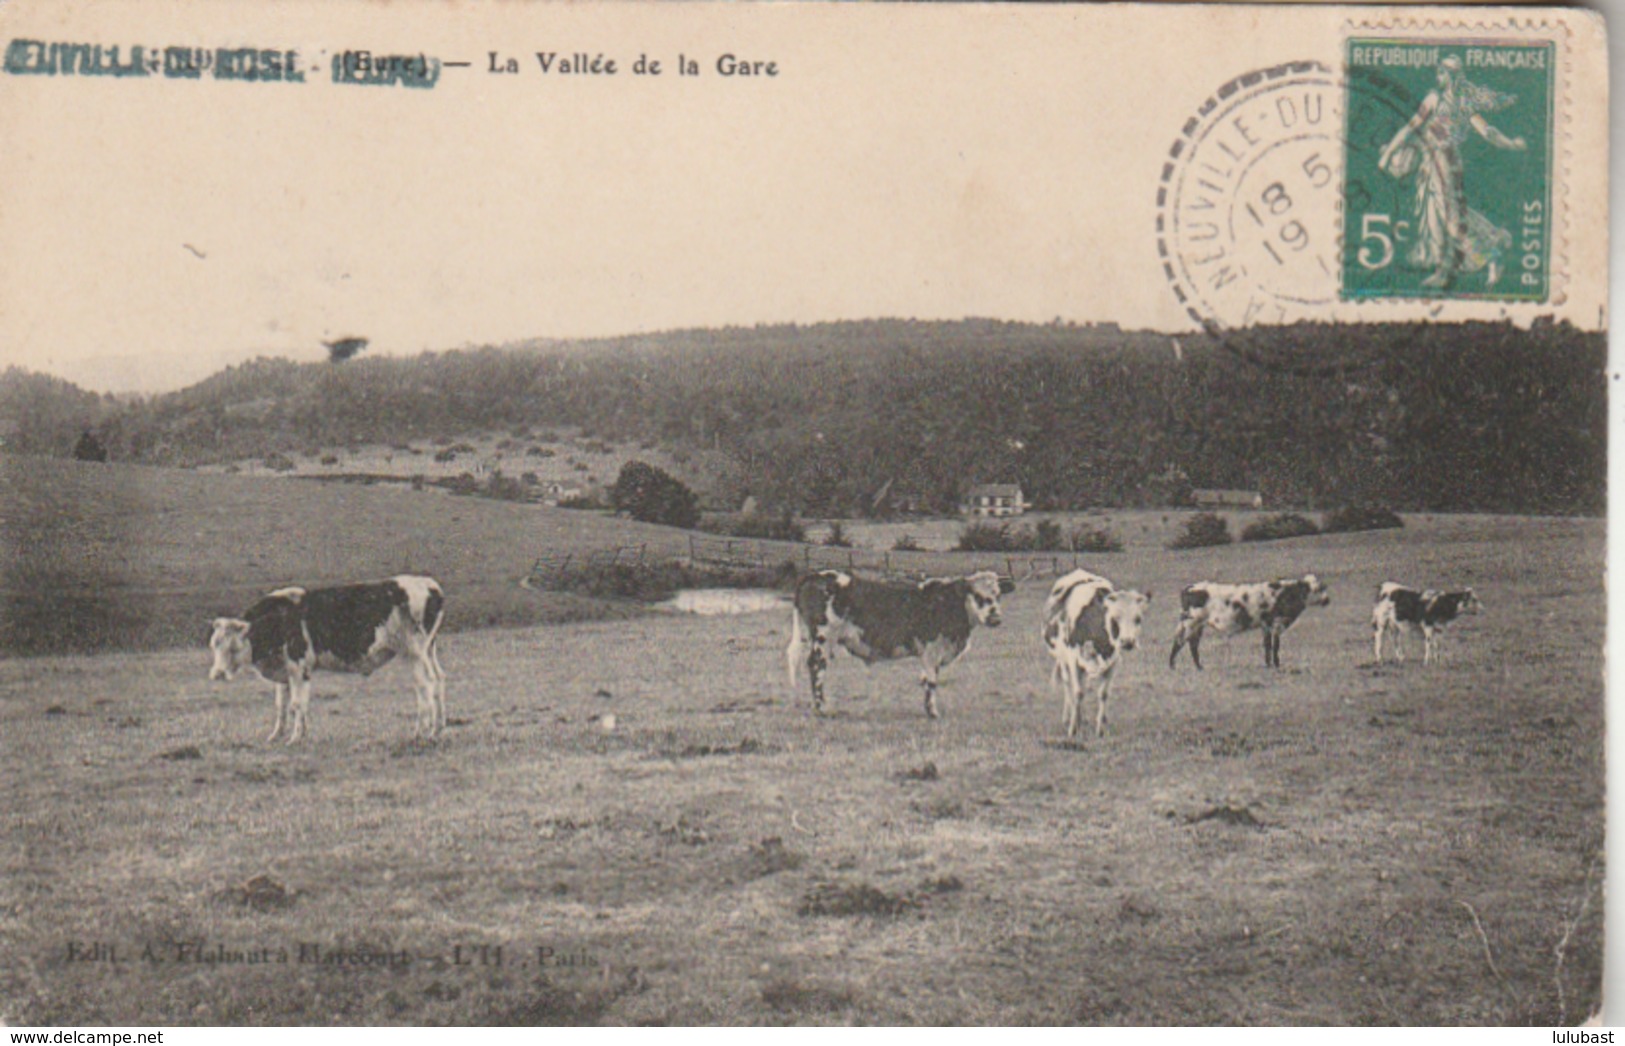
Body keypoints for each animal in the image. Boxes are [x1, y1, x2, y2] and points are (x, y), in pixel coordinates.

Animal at [212, 571, 451, 743]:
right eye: (215, 645)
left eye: (233, 647)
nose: (218, 674)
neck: (279, 619)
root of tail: (430, 586)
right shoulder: (285, 672)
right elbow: (282, 705)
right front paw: (278, 735)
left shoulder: (299, 669)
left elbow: (296, 704)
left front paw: (295, 737)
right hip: (429, 651)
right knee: (439, 679)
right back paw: (437, 729)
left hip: (416, 653)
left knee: (424, 685)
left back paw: (421, 732)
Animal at [780, 571, 1007, 717]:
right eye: (977, 595)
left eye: (998, 595)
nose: (995, 617)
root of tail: (816, 576)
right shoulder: (932, 649)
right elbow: (932, 681)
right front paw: (932, 712)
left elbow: (926, 680)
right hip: (823, 637)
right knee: (816, 666)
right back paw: (821, 708)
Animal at [1040, 568, 1157, 740]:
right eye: (1115, 618)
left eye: (1138, 619)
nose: (1128, 642)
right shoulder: (1073, 659)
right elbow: (1078, 692)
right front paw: (1073, 729)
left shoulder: (1113, 662)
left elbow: (1103, 694)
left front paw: (1100, 728)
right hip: (1062, 659)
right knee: (1068, 684)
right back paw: (1069, 717)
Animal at [1170, 571, 1332, 669]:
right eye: (1317, 589)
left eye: (1323, 586)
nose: (1327, 600)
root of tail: (1191, 586)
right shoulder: (1274, 623)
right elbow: (1273, 645)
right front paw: (1275, 665)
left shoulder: (1266, 625)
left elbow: (1268, 644)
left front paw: (1269, 664)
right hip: (1190, 622)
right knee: (1180, 642)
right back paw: (1174, 666)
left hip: (1197, 625)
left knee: (1192, 644)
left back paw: (1198, 667)